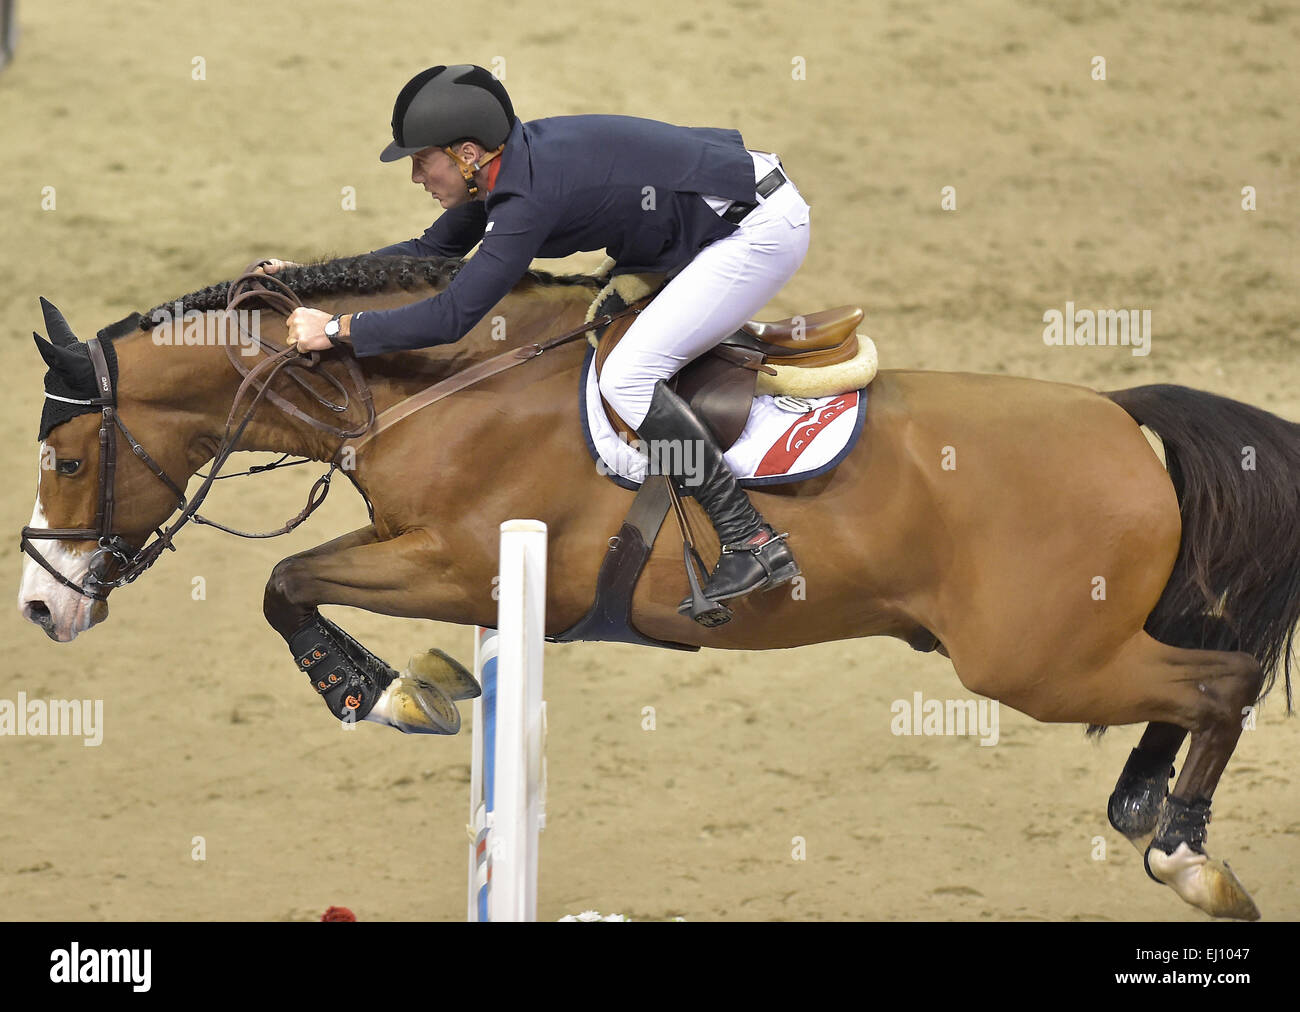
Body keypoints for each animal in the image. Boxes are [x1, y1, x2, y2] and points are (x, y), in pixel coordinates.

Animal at [20, 256, 1300, 920]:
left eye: (70, 459)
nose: (43, 606)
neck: (432, 381)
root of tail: (1124, 418)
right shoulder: (436, 562)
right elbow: (296, 583)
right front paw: (413, 685)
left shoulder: (463, 562)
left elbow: (284, 580)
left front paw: (381, 691)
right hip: (1059, 652)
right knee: (1195, 686)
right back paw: (1144, 810)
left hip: (1033, 660)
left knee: (1223, 680)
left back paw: (1186, 854)